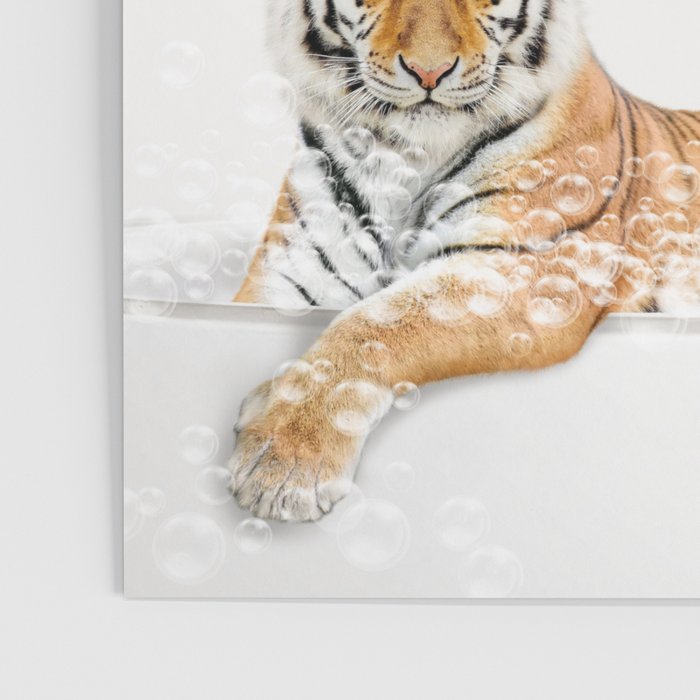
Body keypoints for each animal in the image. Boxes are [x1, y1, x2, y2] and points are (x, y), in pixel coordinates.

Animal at [228, 0, 700, 522]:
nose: (428, 72)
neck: (410, 158)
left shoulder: (533, 269)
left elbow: (373, 325)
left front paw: (284, 463)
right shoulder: (291, 271)